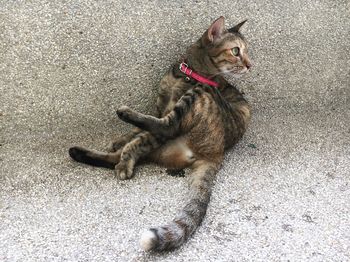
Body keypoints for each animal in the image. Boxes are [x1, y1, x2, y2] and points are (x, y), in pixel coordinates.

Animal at [69, 16, 252, 252]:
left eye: (244, 51)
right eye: (236, 51)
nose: (249, 64)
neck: (185, 74)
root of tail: (216, 154)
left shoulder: (165, 116)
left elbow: (142, 137)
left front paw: (126, 155)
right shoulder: (159, 108)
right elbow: (135, 133)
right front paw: (120, 140)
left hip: (198, 97)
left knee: (166, 127)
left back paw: (124, 124)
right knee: (120, 153)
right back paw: (79, 152)